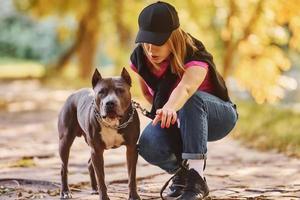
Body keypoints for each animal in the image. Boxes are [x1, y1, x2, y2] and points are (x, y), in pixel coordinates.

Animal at [58, 68, 141, 199]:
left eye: (120, 90)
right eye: (101, 92)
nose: (110, 103)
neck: (113, 123)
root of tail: (73, 95)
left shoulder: (132, 148)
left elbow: (131, 175)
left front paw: (133, 195)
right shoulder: (97, 150)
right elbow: (101, 177)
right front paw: (104, 197)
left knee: (89, 164)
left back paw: (94, 188)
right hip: (65, 141)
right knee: (63, 168)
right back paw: (65, 192)